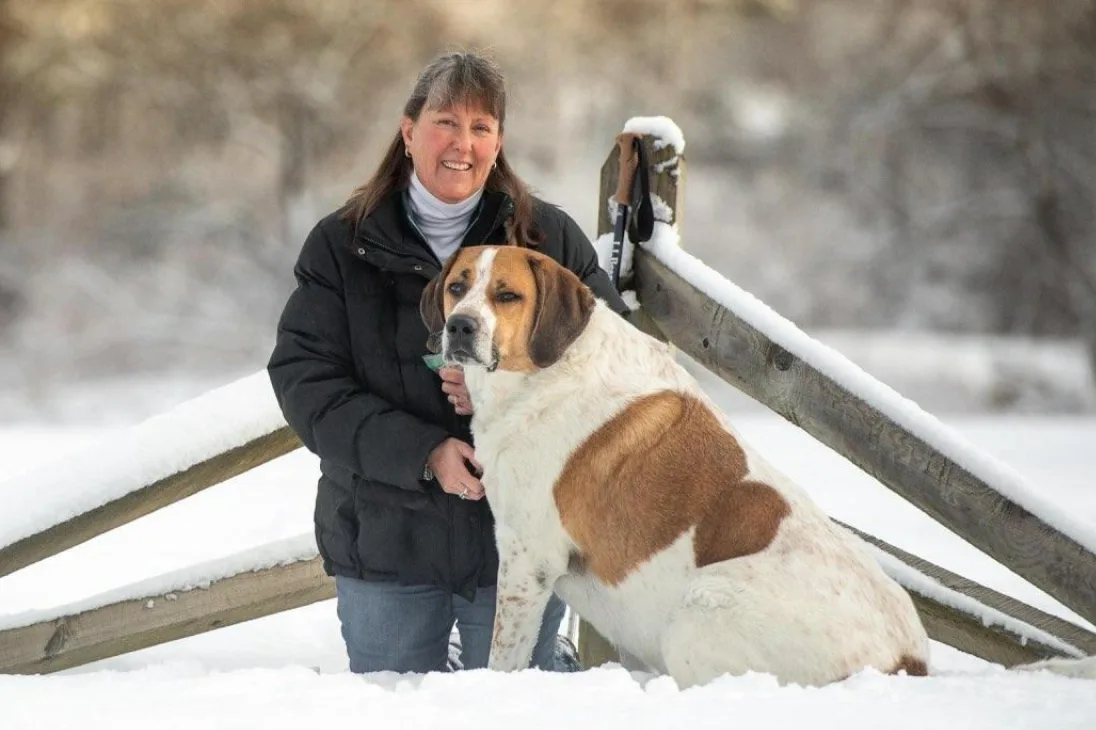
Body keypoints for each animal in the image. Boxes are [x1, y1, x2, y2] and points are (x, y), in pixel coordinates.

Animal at [416, 245, 1087, 688]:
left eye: (507, 295)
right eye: (457, 287)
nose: (461, 327)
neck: (546, 373)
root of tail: (908, 663)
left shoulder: (528, 559)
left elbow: (502, 652)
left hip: (698, 607)